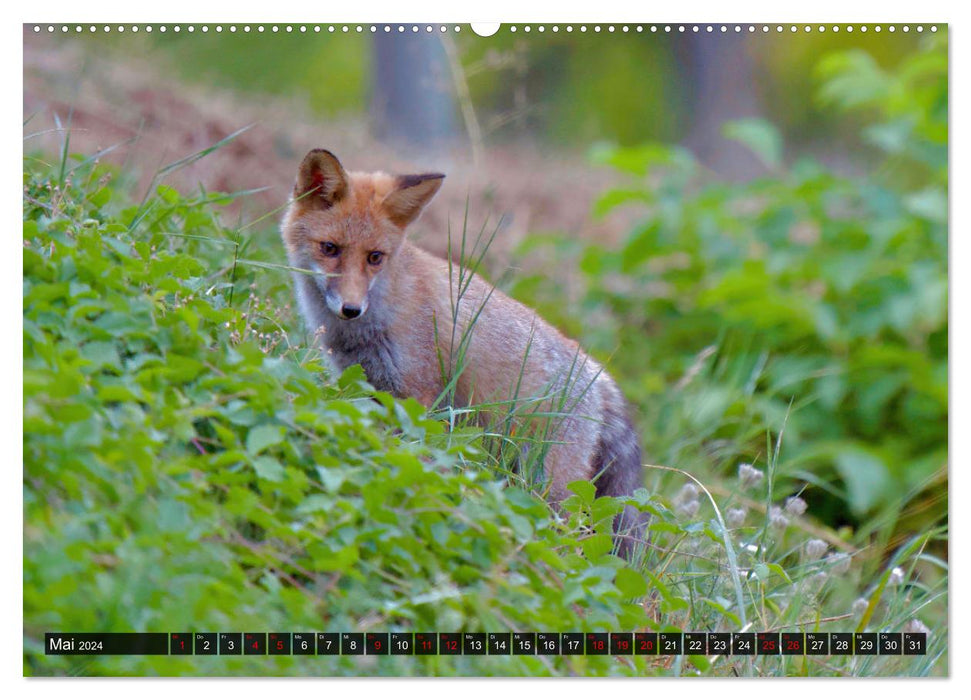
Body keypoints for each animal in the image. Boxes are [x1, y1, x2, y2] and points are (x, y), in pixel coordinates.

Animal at [280, 149, 644, 556]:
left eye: (375, 257)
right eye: (329, 249)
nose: (351, 308)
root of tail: (600, 376)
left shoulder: (419, 392)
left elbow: (418, 455)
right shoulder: (364, 386)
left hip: (550, 484)